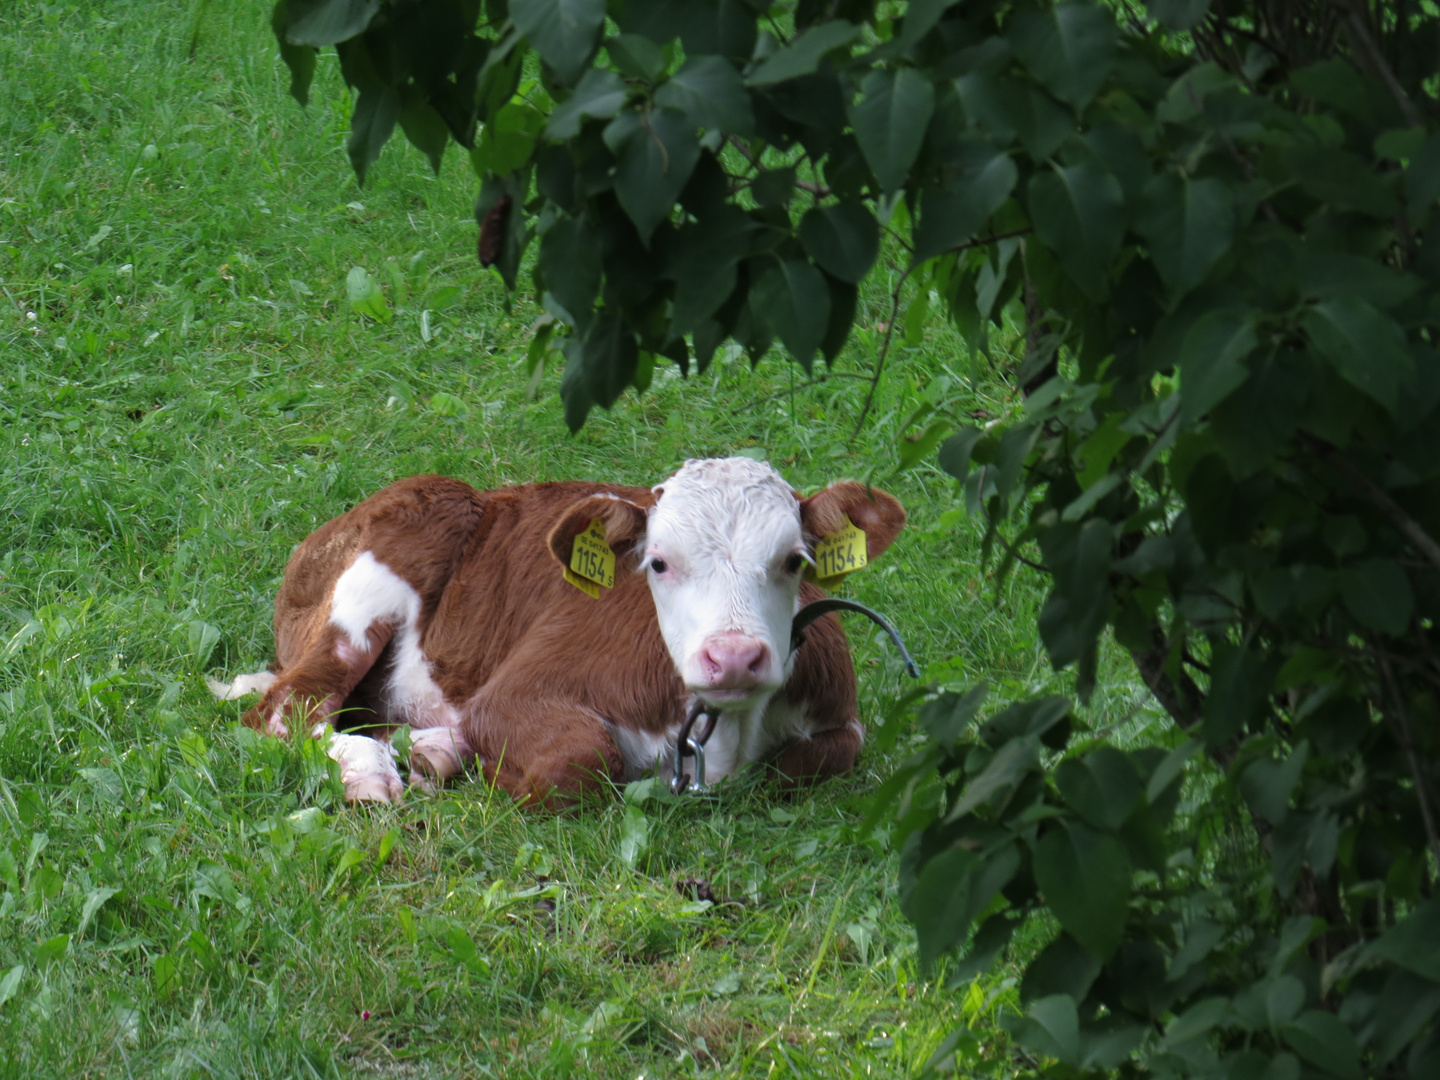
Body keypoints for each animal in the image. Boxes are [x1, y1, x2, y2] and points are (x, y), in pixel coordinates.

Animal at [210, 457, 904, 806]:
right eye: (658, 562)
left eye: (795, 561)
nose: (733, 656)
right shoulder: (517, 689)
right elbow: (579, 757)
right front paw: (487, 765)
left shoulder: (839, 714)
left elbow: (820, 757)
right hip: (376, 578)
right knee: (285, 710)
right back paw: (370, 775)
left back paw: (432, 747)